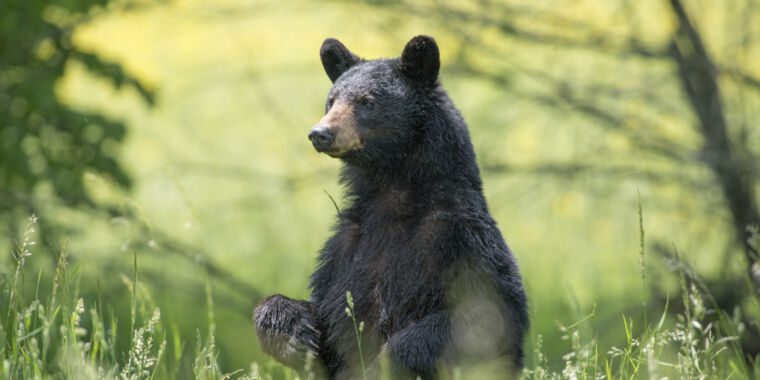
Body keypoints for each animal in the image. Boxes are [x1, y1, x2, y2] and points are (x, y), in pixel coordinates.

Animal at [255, 36, 528, 380]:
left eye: (367, 102)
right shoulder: (344, 249)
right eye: (331, 100)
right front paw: (294, 335)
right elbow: (329, 311)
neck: (392, 197)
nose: (320, 133)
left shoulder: (460, 237)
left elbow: (485, 313)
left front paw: (383, 364)